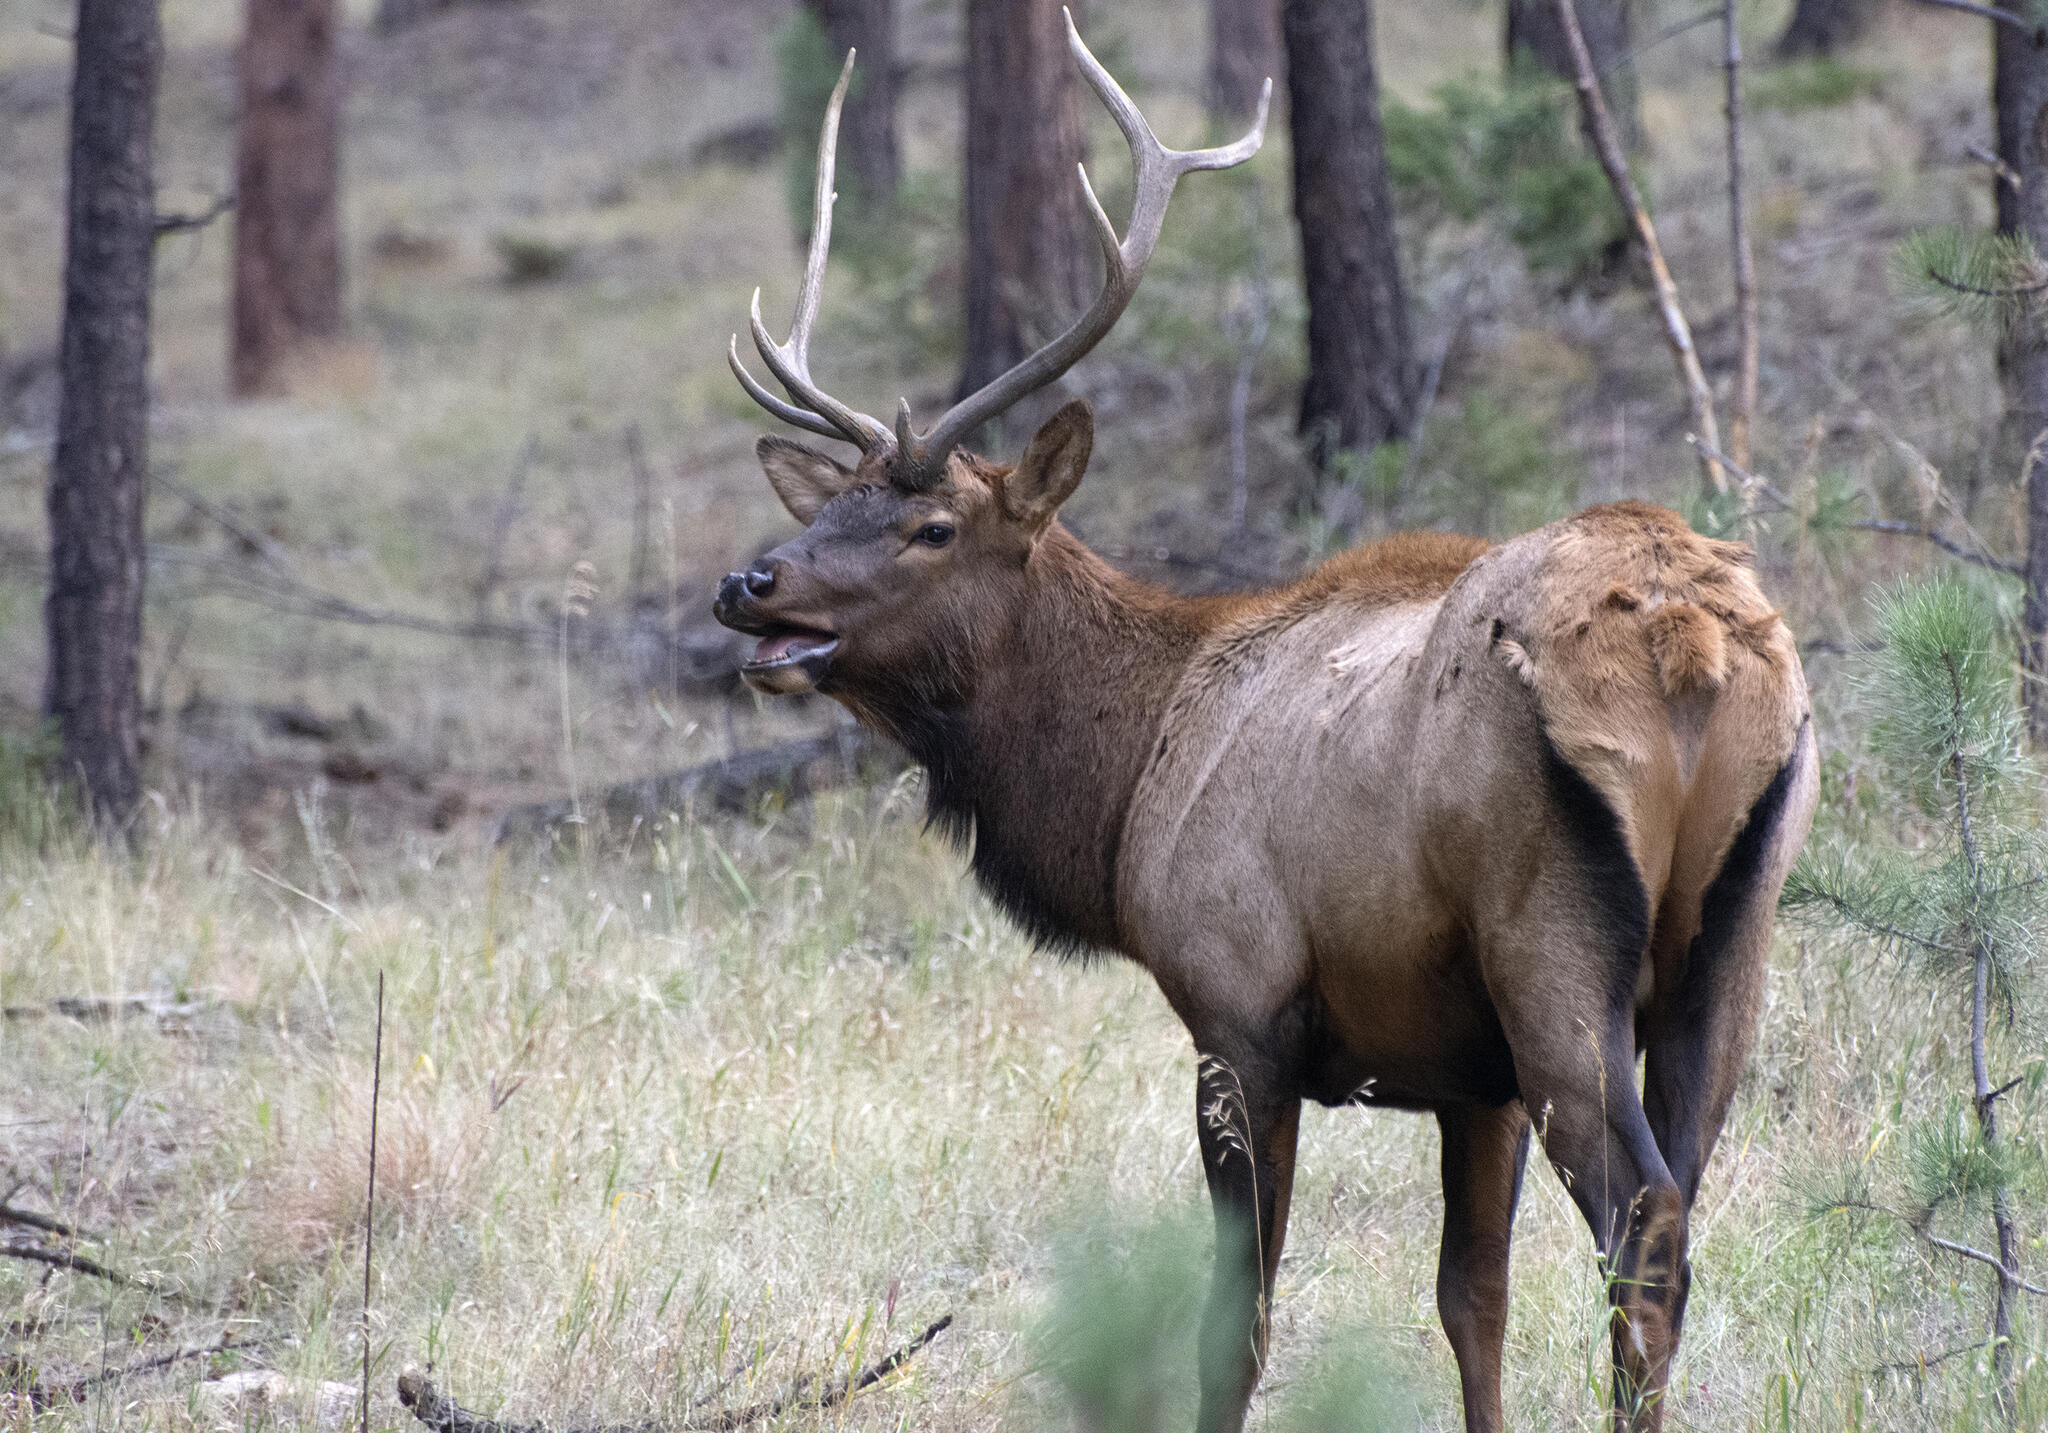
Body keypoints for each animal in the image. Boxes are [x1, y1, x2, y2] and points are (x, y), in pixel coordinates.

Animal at [712, 16, 1818, 1424]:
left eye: (933, 525)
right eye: (832, 505)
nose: (746, 582)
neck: (1120, 787)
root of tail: (1692, 639)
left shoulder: (1237, 1008)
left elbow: (1234, 1318)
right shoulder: (1470, 1082)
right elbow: (1472, 1300)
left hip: (1548, 936)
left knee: (1640, 1218)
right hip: (1731, 938)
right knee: (1678, 1210)